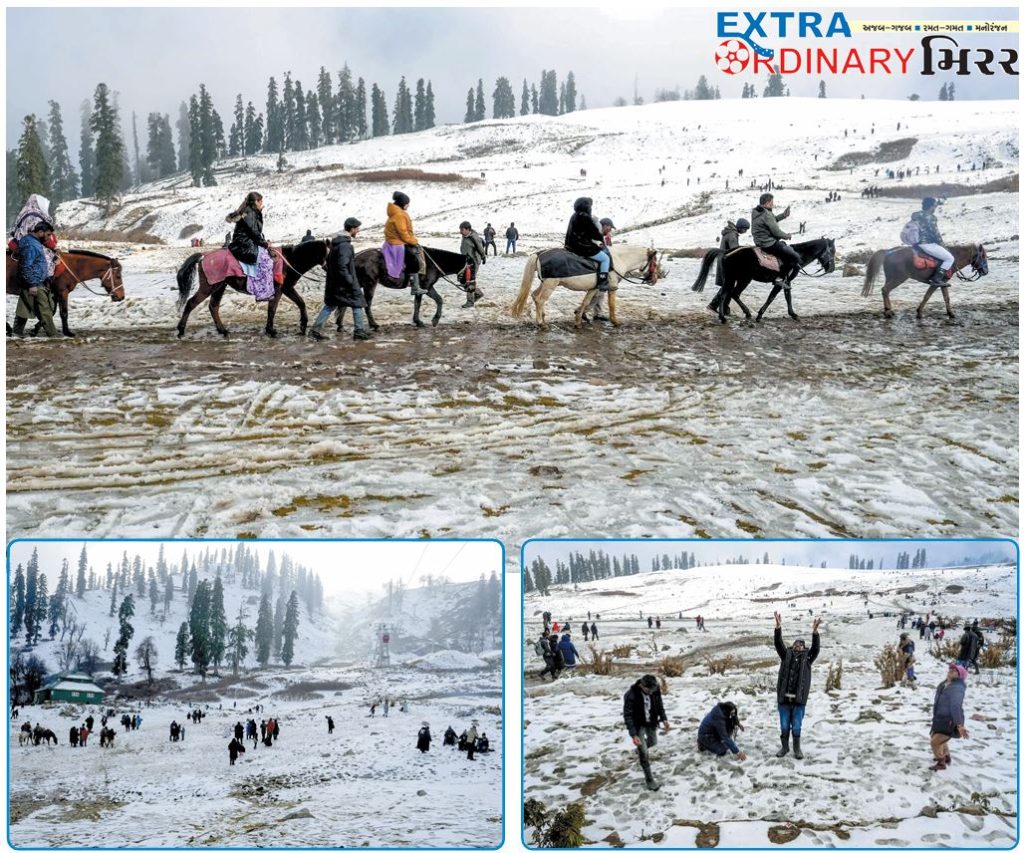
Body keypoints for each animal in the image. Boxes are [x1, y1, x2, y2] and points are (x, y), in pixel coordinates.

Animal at [175, 239, 330, 338]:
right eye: (329, 254)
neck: (289, 261)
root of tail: (203, 256)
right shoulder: (279, 290)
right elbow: (272, 309)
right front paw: (271, 330)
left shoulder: (287, 288)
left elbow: (301, 303)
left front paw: (303, 325)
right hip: (209, 287)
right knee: (191, 303)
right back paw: (181, 330)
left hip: (219, 287)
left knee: (213, 307)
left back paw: (222, 330)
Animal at [511, 245, 666, 329]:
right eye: (655, 262)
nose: (656, 278)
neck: (618, 259)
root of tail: (539, 254)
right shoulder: (612, 287)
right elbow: (612, 305)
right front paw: (615, 321)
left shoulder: (594, 288)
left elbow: (586, 302)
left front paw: (578, 320)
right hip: (550, 284)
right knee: (540, 300)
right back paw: (541, 323)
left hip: (545, 283)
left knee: (534, 296)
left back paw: (543, 317)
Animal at [692, 238, 836, 324]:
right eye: (832, 251)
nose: (832, 269)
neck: (798, 255)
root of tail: (727, 252)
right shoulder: (781, 282)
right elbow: (772, 297)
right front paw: (760, 315)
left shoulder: (787, 282)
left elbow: (787, 297)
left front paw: (793, 314)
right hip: (742, 279)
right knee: (731, 294)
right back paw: (732, 316)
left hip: (733, 279)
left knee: (727, 294)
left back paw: (732, 315)